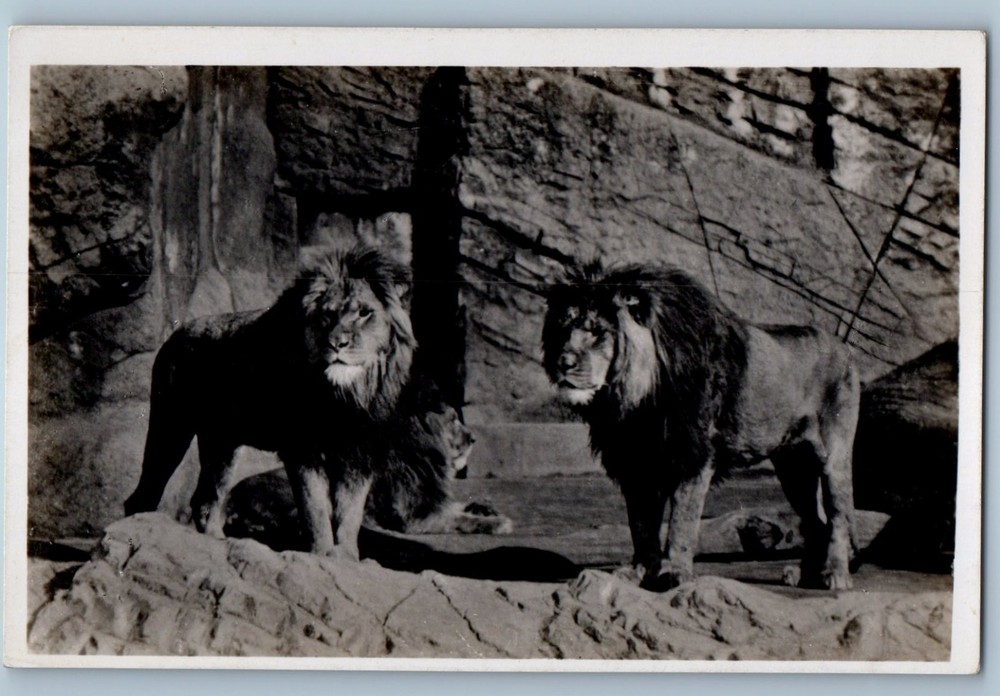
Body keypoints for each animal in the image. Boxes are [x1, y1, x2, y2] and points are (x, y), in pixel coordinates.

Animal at [123, 244, 416, 561]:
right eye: (326, 316)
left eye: (364, 313)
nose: (337, 343)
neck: (345, 396)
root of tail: (174, 334)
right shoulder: (303, 449)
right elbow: (315, 509)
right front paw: (321, 553)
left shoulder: (359, 455)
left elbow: (350, 514)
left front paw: (346, 557)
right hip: (171, 427)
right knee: (143, 494)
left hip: (222, 444)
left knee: (204, 499)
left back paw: (220, 542)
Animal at [543, 261, 860, 591]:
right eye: (561, 328)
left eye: (597, 331)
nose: (562, 362)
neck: (635, 399)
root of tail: (845, 347)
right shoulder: (636, 463)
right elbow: (641, 526)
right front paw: (638, 571)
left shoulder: (693, 456)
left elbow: (682, 521)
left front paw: (675, 574)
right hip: (794, 468)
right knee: (815, 522)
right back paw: (804, 575)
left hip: (832, 456)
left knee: (837, 517)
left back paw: (834, 574)